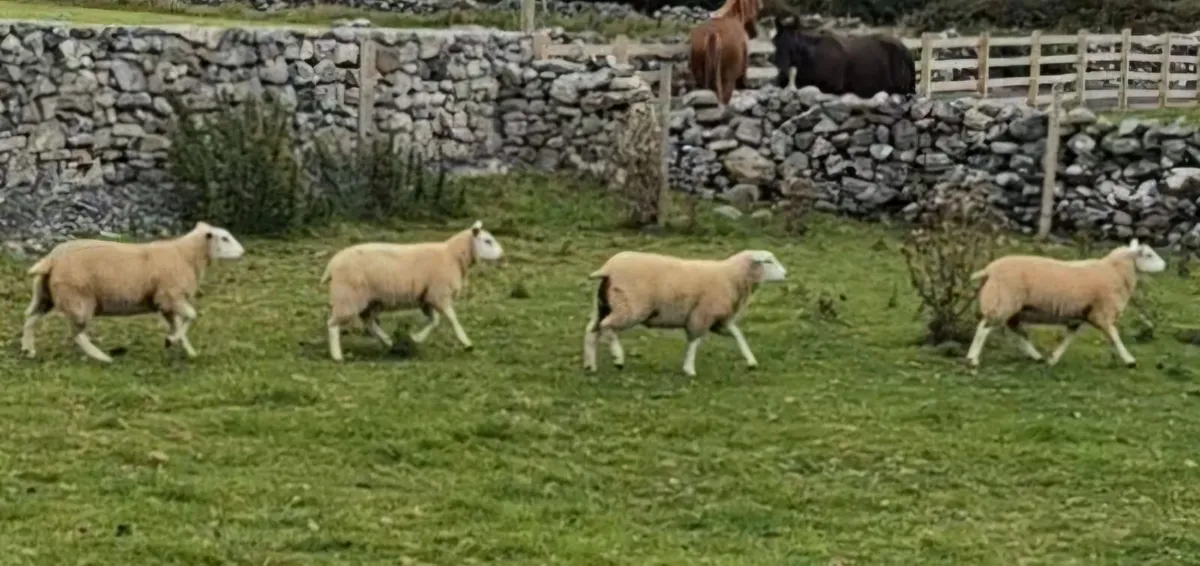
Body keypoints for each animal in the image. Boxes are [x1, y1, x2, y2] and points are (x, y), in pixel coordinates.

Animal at [20, 221, 246, 363]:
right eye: (225, 238)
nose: (242, 252)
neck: (186, 254)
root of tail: (51, 258)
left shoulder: (164, 303)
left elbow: (178, 324)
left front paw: (185, 348)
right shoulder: (170, 295)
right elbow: (192, 316)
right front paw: (172, 341)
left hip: (45, 294)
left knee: (30, 317)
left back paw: (28, 349)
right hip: (78, 298)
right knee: (76, 333)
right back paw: (102, 357)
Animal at [321, 220, 504, 362]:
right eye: (487, 241)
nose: (502, 255)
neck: (453, 256)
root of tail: (331, 265)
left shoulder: (427, 298)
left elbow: (434, 321)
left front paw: (416, 338)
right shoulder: (440, 294)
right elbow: (452, 319)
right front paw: (467, 343)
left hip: (369, 301)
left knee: (370, 324)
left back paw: (390, 343)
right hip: (347, 297)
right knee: (332, 325)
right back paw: (337, 356)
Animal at [582, 249, 787, 377]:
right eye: (768, 261)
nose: (786, 274)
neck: (731, 275)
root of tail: (607, 269)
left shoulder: (719, 320)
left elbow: (738, 335)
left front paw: (751, 361)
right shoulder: (702, 314)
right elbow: (695, 341)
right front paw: (689, 369)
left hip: (603, 305)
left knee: (591, 331)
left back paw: (590, 366)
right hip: (629, 306)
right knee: (606, 327)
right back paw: (618, 358)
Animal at [964, 238, 1166, 368]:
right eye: (1149, 255)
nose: (1165, 266)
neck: (1114, 271)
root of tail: (989, 270)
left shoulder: (1079, 316)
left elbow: (1067, 339)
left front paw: (1053, 359)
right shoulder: (1102, 313)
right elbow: (1115, 337)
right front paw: (1130, 360)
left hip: (1013, 307)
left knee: (1016, 331)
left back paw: (1036, 356)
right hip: (1002, 302)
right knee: (984, 329)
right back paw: (972, 359)